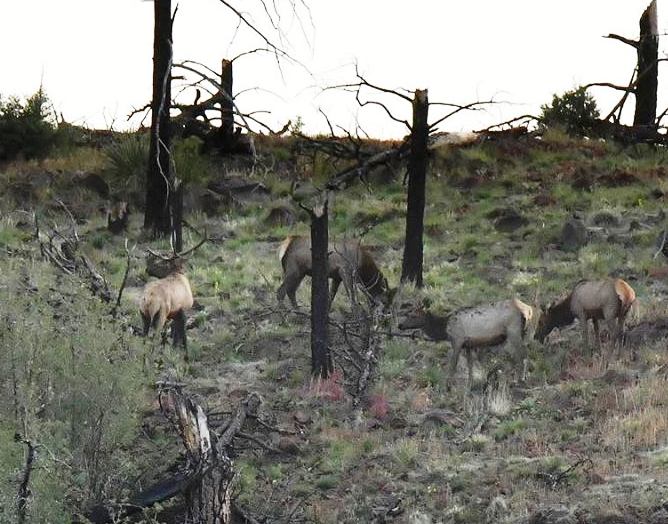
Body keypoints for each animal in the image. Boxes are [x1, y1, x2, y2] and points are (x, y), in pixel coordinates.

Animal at [398, 298, 535, 389]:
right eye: (408, 313)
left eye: (413, 315)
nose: (400, 325)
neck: (444, 329)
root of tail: (529, 310)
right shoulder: (469, 344)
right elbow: (470, 364)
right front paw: (470, 383)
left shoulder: (457, 340)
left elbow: (453, 364)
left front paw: (447, 386)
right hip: (523, 333)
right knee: (522, 354)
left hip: (513, 331)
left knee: (523, 355)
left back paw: (520, 380)